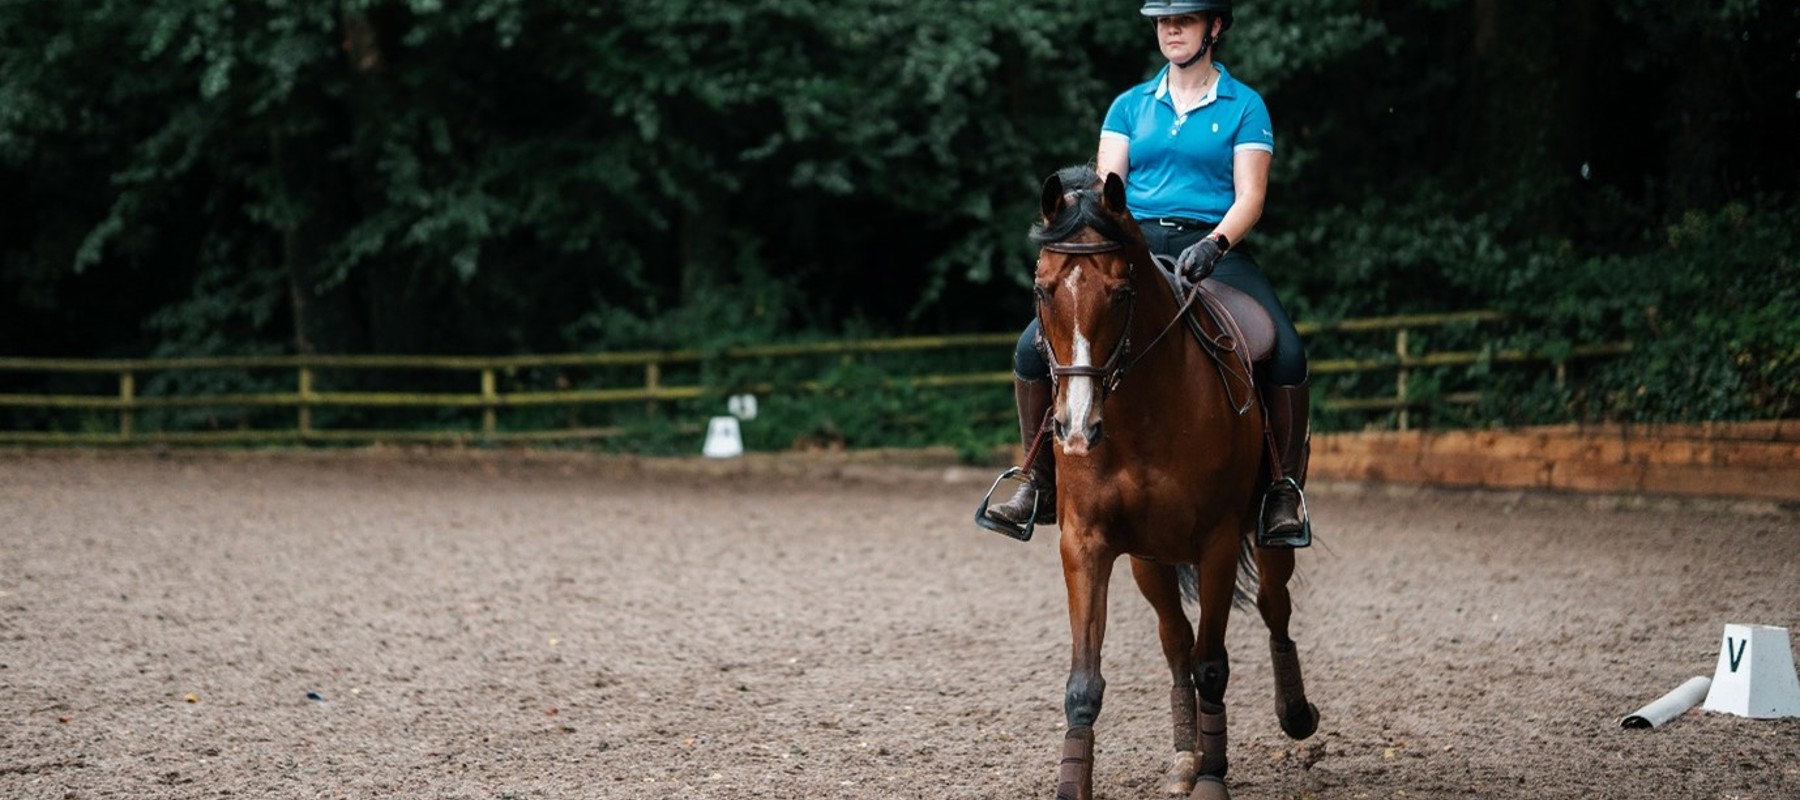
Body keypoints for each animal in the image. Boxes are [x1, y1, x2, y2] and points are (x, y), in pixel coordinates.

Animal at [1023, 165, 1319, 800]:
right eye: (1042, 290)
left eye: (1121, 293)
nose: (1076, 429)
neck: (1142, 413)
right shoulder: (1085, 544)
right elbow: (1085, 682)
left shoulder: (1218, 544)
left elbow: (1214, 664)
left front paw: (1213, 775)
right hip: (1148, 559)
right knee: (1174, 639)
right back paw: (1185, 753)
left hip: (1267, 532)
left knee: (1272, 605)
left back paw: (1294, 714)